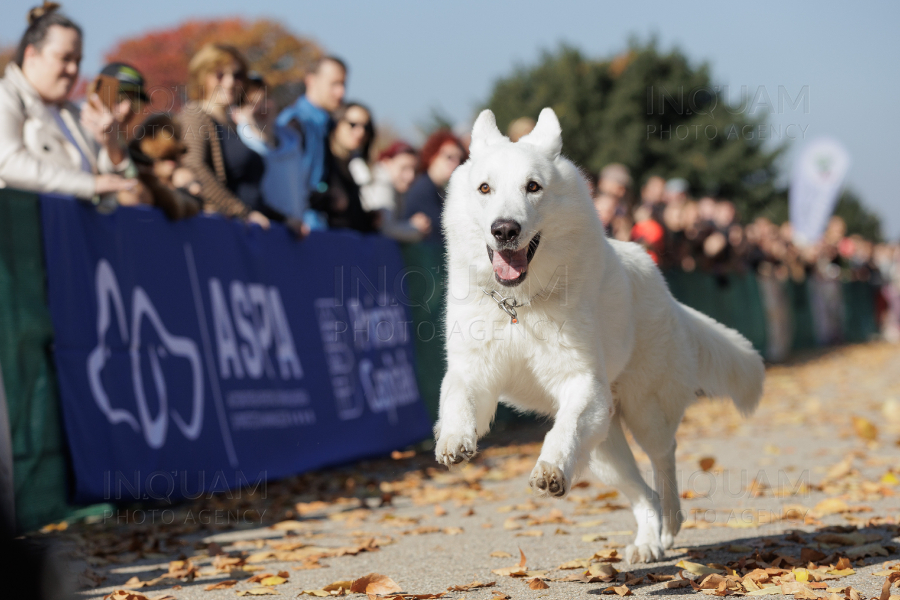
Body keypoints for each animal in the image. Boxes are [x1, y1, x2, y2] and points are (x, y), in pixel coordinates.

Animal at [432, 108, 764, 564]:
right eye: (485, 188)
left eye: (533, 187)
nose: (504, 229)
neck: (520, 304)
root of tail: (670, 297)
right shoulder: (475, 372)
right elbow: (457, 400)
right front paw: (454, 439)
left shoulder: (582, 383)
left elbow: (564, 432)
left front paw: (551, 470)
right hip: (605, 445)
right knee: (643, 494)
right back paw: (648, 543)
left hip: (643, 414)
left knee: (663, 463)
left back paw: (670, 526)